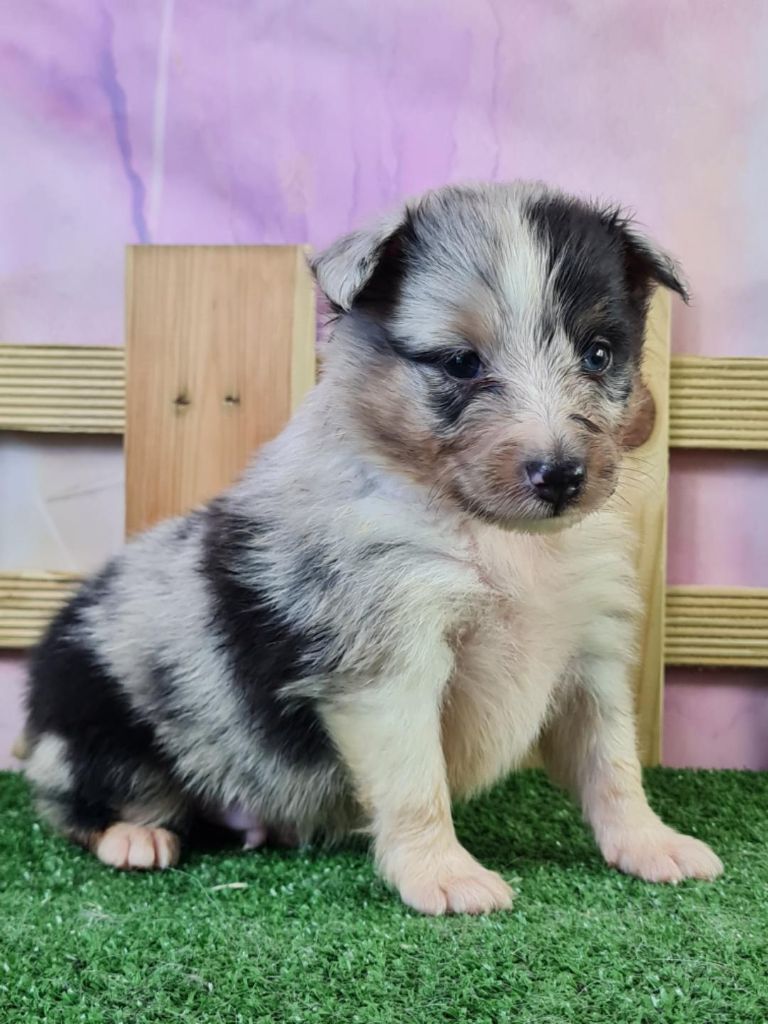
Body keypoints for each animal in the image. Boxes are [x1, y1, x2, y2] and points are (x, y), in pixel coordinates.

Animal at [22, 182, 720, 913]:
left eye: (599, 354)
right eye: (461, 363)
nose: (559, 476)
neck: (498, 537)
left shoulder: (588, 654)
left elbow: (614, 761)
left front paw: (652, 844)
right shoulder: (389, 655)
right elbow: (417, 782)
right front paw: (446, 877)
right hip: (92, 714)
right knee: (73, 796)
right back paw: (134, 835)